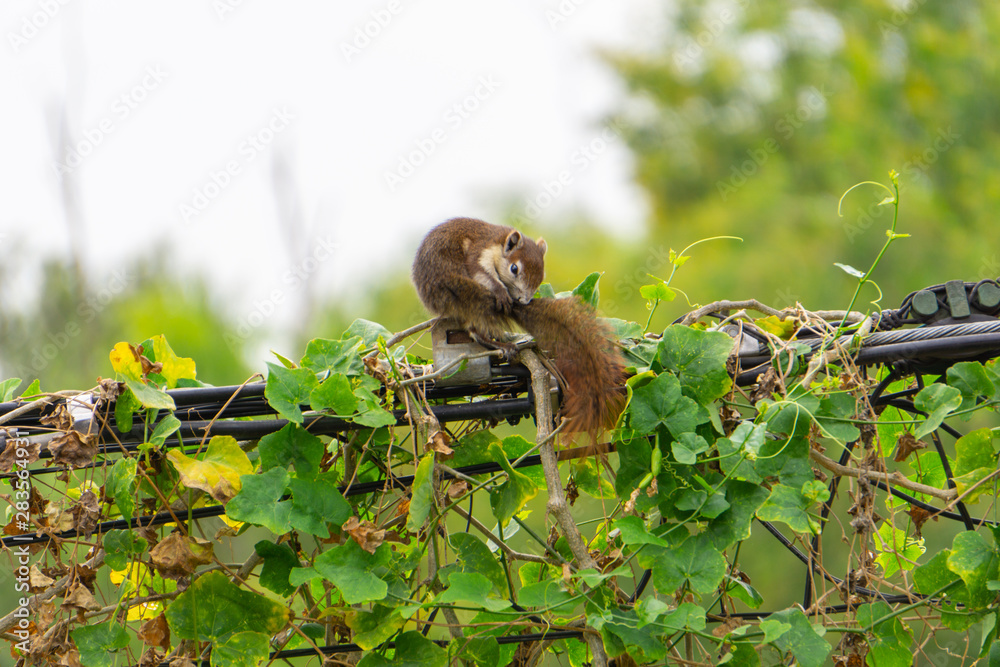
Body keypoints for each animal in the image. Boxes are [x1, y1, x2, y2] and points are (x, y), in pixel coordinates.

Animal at [410, 218, 620, 434]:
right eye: (514, 269)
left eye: (541, 275)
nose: (524, 300)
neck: (498, 242)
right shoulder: (479, 252)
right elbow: (483, 273)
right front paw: (500, 290)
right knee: (475, 331)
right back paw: (502, 343)